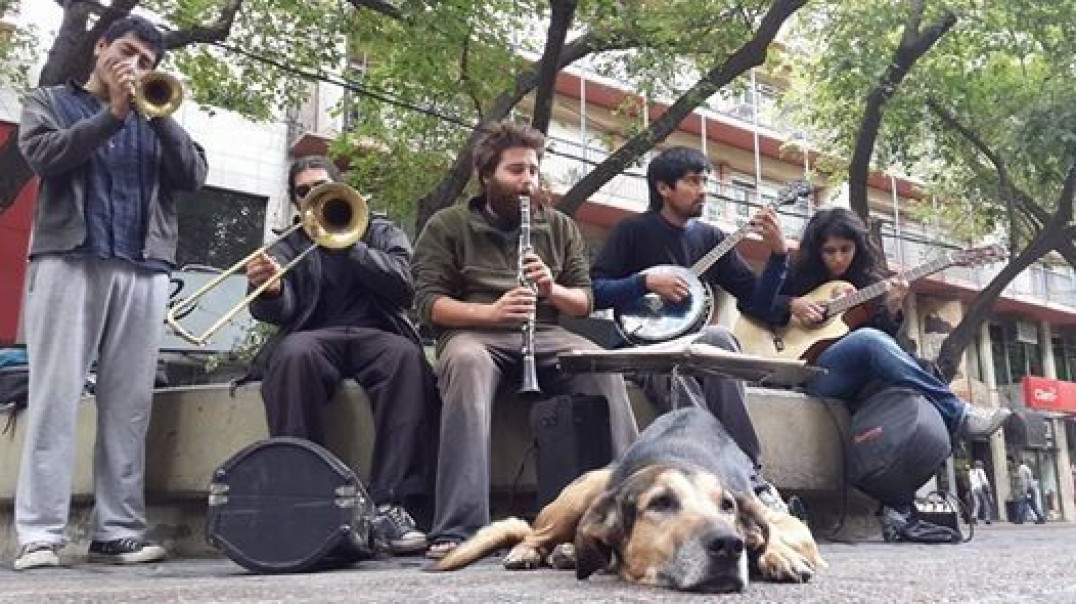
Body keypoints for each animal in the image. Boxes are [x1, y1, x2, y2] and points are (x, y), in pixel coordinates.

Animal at [432, 406, 826, 590]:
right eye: (660, 503)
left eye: (727, 506)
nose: (730, 545)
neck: (679, 456)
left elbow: (778, 536)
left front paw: (778, 555)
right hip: (586, 490)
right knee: (532, 533)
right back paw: (529, 551)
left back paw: (567, 552)